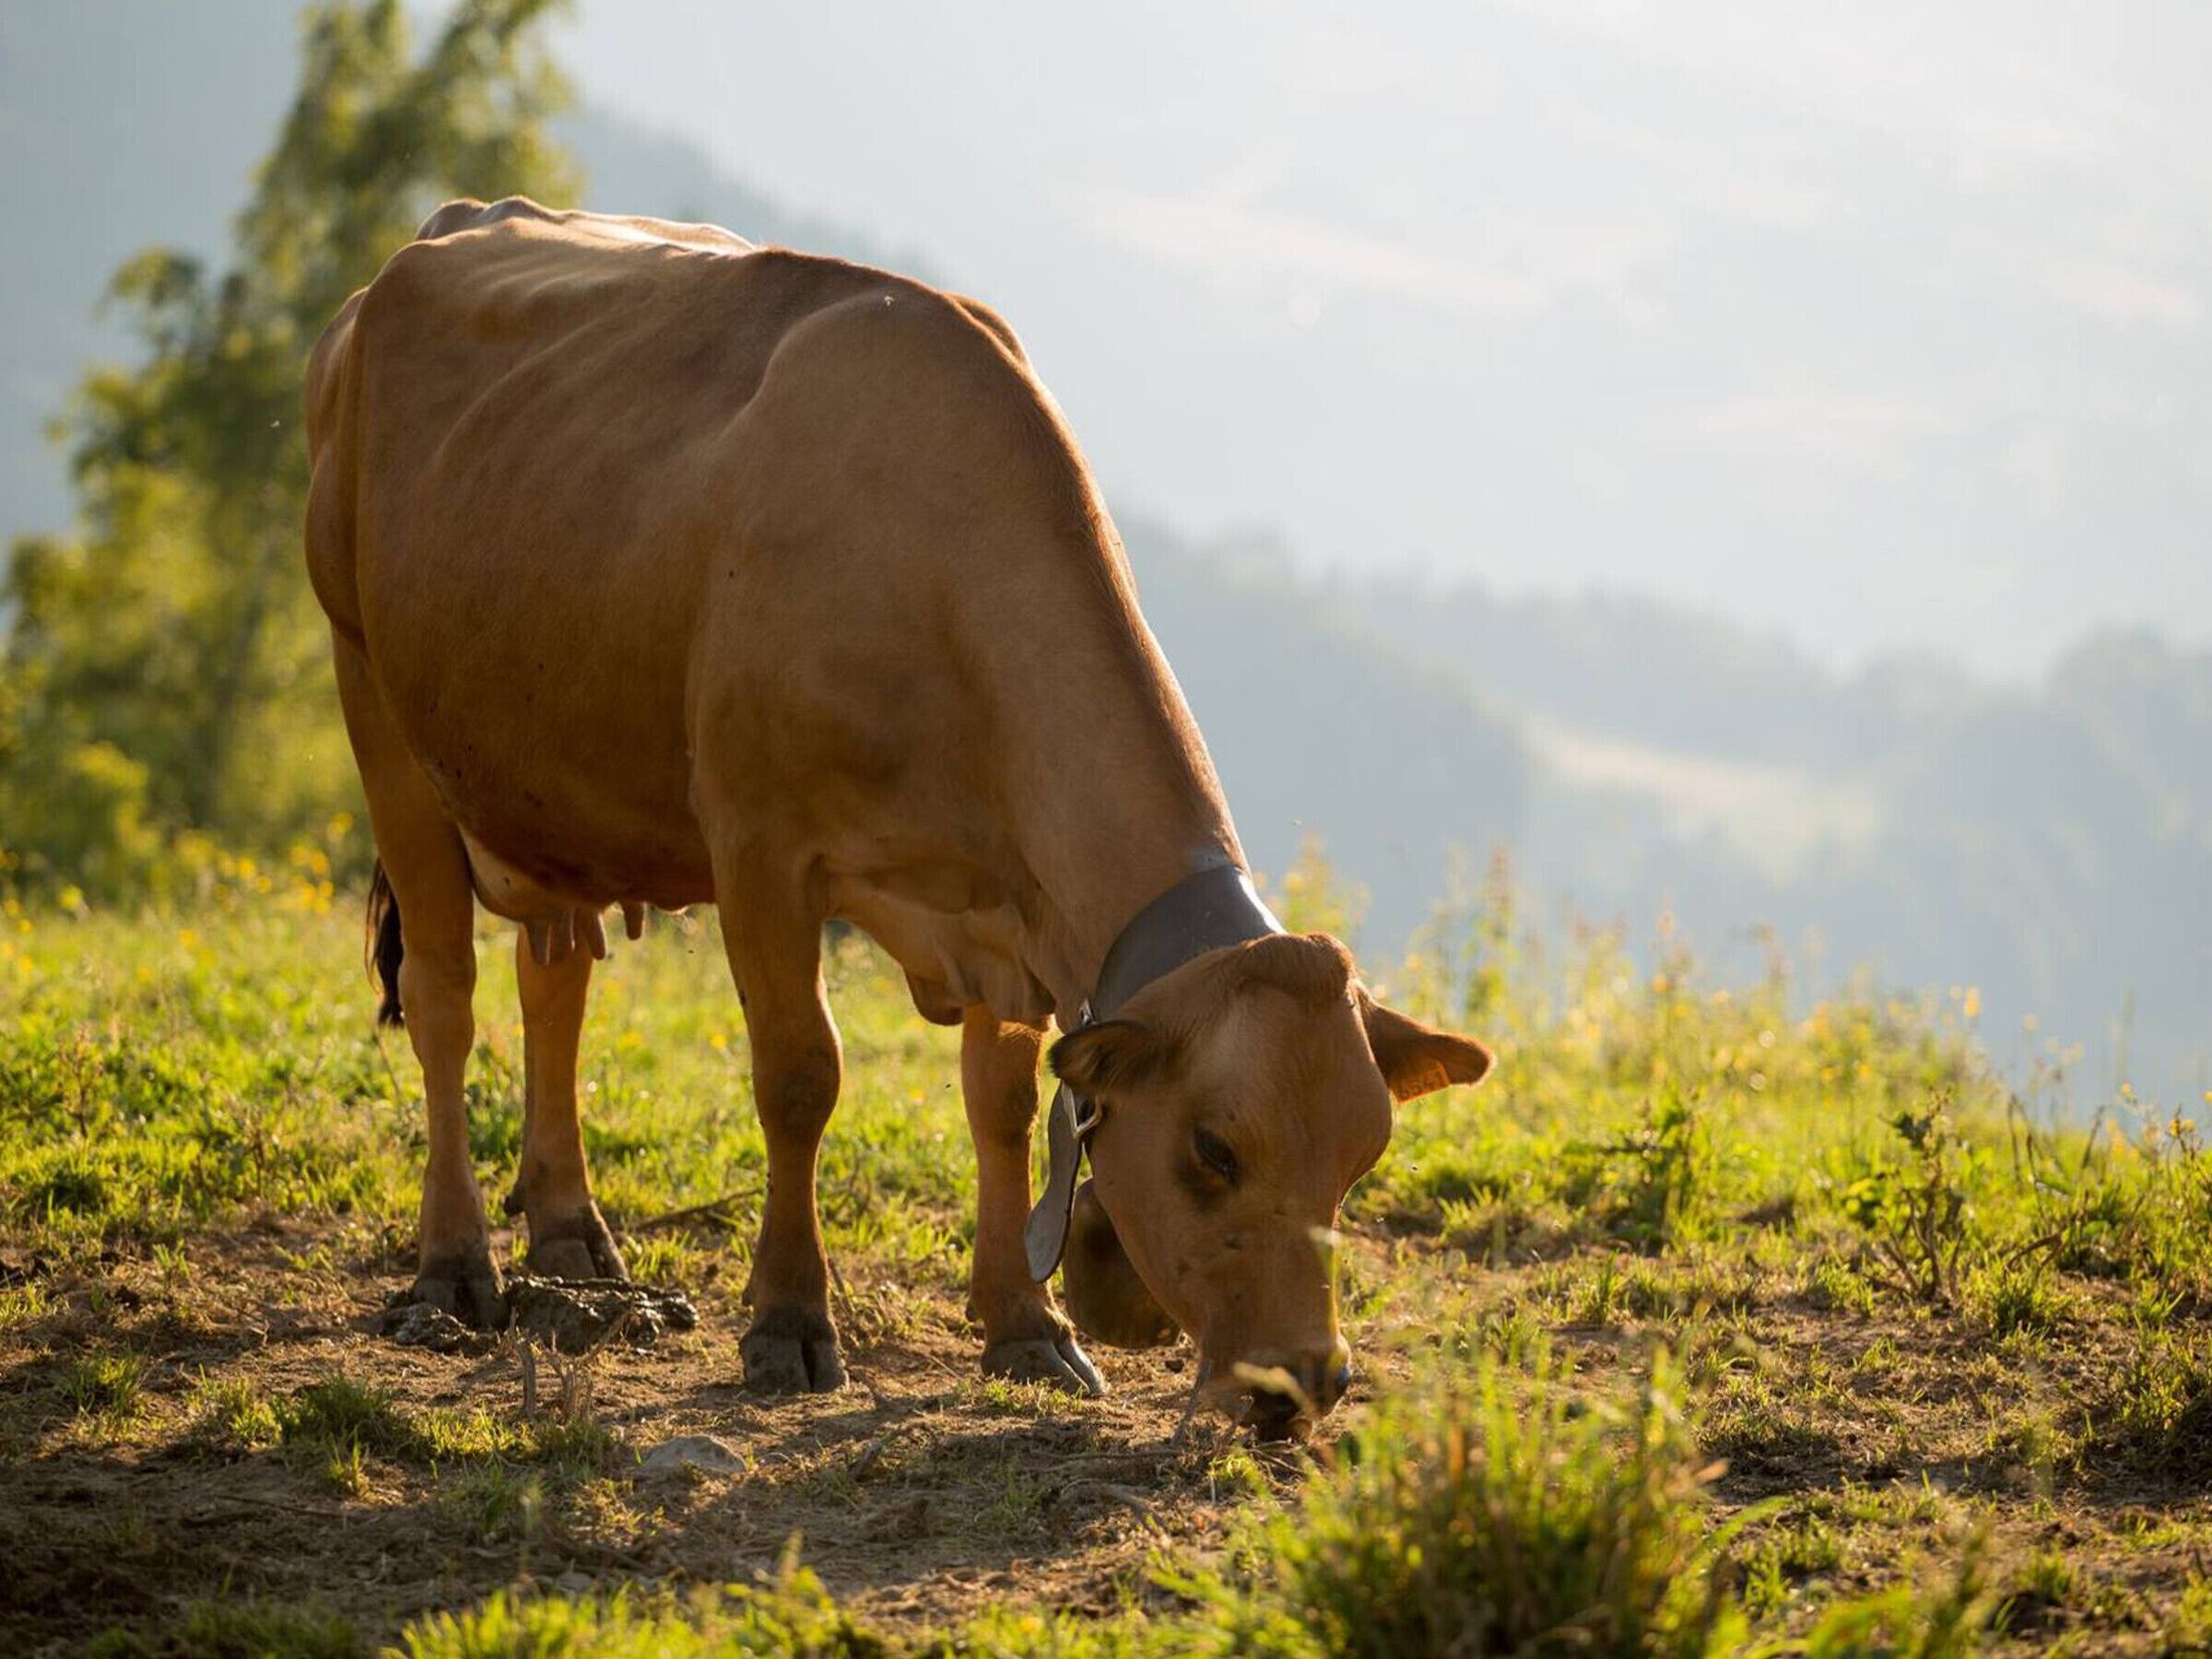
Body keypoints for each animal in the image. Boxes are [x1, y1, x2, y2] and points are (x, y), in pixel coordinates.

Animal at [305, 198, 1493, 1437]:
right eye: (1215, 1150)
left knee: (555, 983)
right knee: (446, 997)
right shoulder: (761, 849)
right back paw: (454, 1267)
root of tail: (450, 229)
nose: (1306, 1380)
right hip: (375, 703)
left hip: (557, 788)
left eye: (1364, 1158)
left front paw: (1026, 1324)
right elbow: (800, 1078)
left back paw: (573, 1235)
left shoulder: (1011, 908)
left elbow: (1003, 1102)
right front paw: (788, 1320)